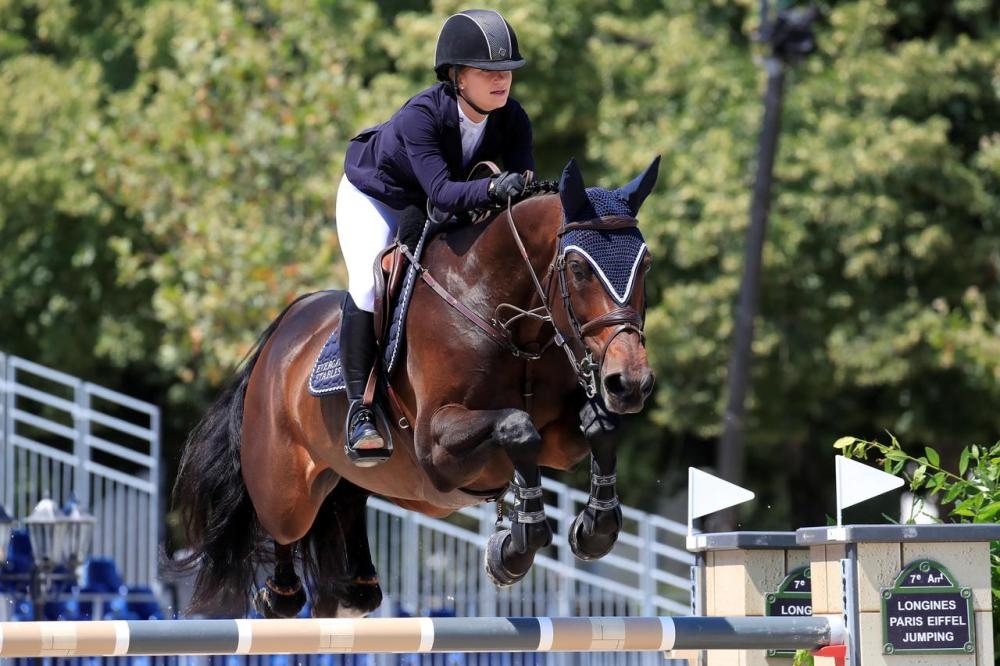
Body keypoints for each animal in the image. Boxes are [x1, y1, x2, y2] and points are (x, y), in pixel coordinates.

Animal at [176, 157, 660, 616]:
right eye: (578, 268)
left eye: (646, 263)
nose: (630, 382)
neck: (504, 317)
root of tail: (279, 337)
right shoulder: (436, 446)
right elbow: (517, 426)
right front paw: (516, 547)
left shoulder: (558, 444)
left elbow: (598, 426)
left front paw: (593, 529)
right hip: (286, 490)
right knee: (282, 534)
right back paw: (279, 595)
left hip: (350, 478)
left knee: (347, 520)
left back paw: (354, 589)